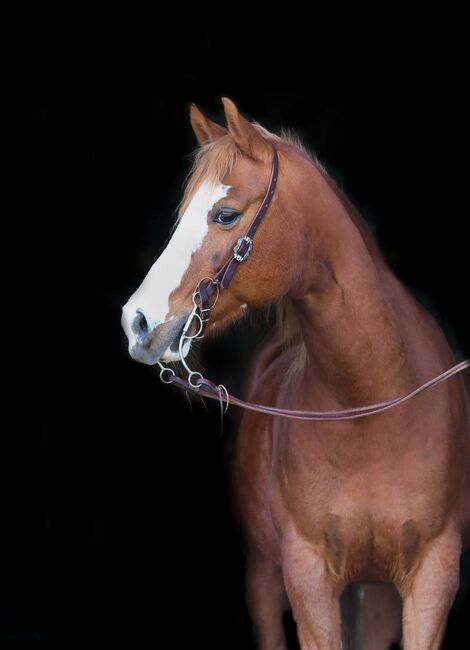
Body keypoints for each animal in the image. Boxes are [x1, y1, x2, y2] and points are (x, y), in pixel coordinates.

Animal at [120, 97, 470, 648]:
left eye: (224, 214)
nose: (136, 321)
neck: (369, 408)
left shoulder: (433, 576)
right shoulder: (307, 577)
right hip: (265, 579)